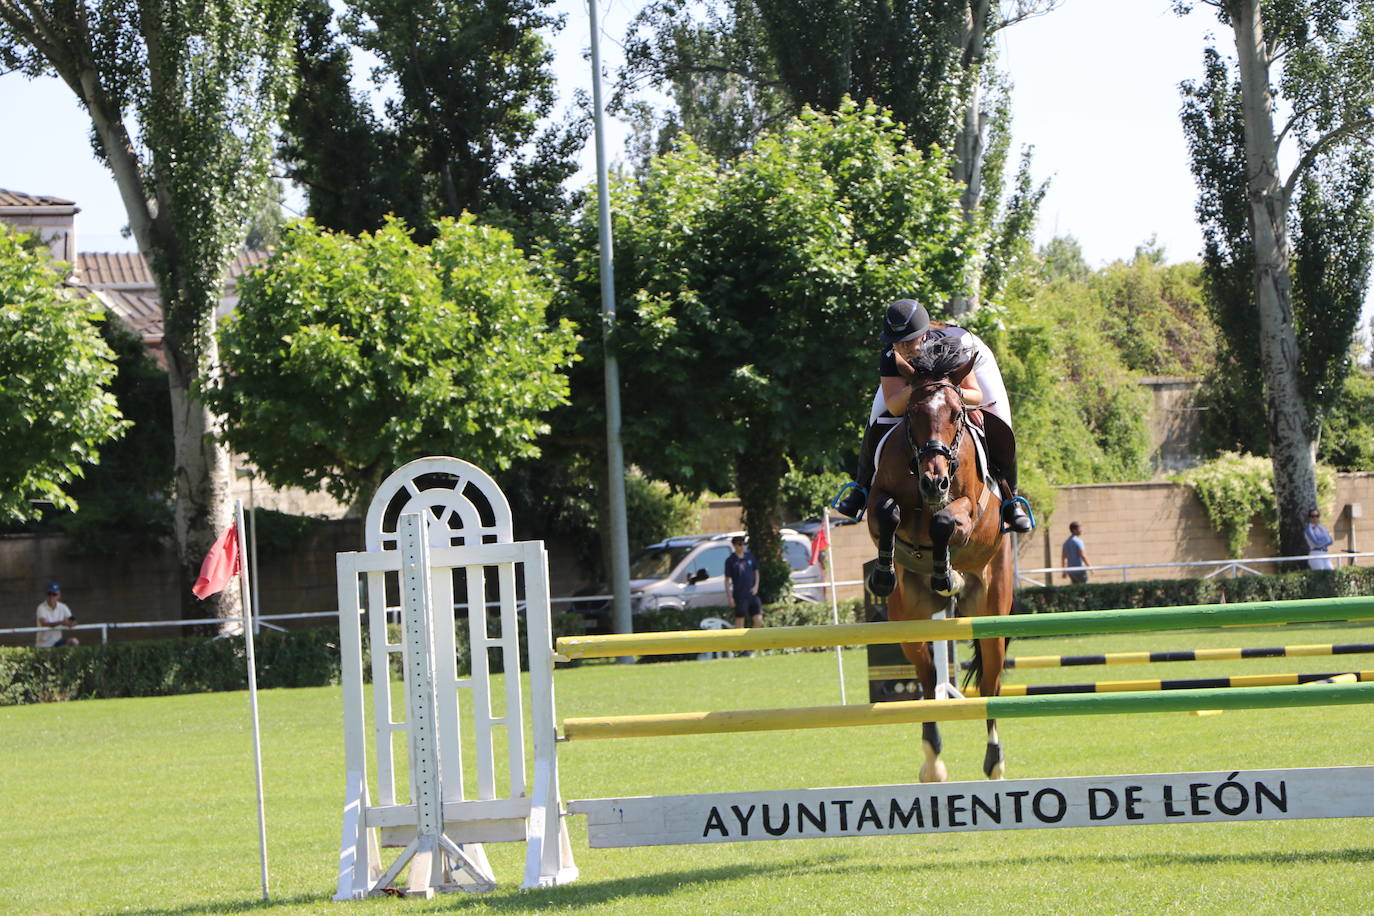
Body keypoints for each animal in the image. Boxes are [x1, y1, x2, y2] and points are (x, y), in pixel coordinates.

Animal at [862, 336, 1016, 780]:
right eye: (913, 414)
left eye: (956, 414)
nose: (935, 481)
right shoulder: (879, 498)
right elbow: (887, 513)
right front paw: (884, 573)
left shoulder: (968, 510)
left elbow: (945, 520)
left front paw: (947, 570)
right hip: (908, 619)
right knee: (928, 680)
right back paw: (932, 764)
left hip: (991, 611)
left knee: (990, 684)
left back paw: (995, 761)